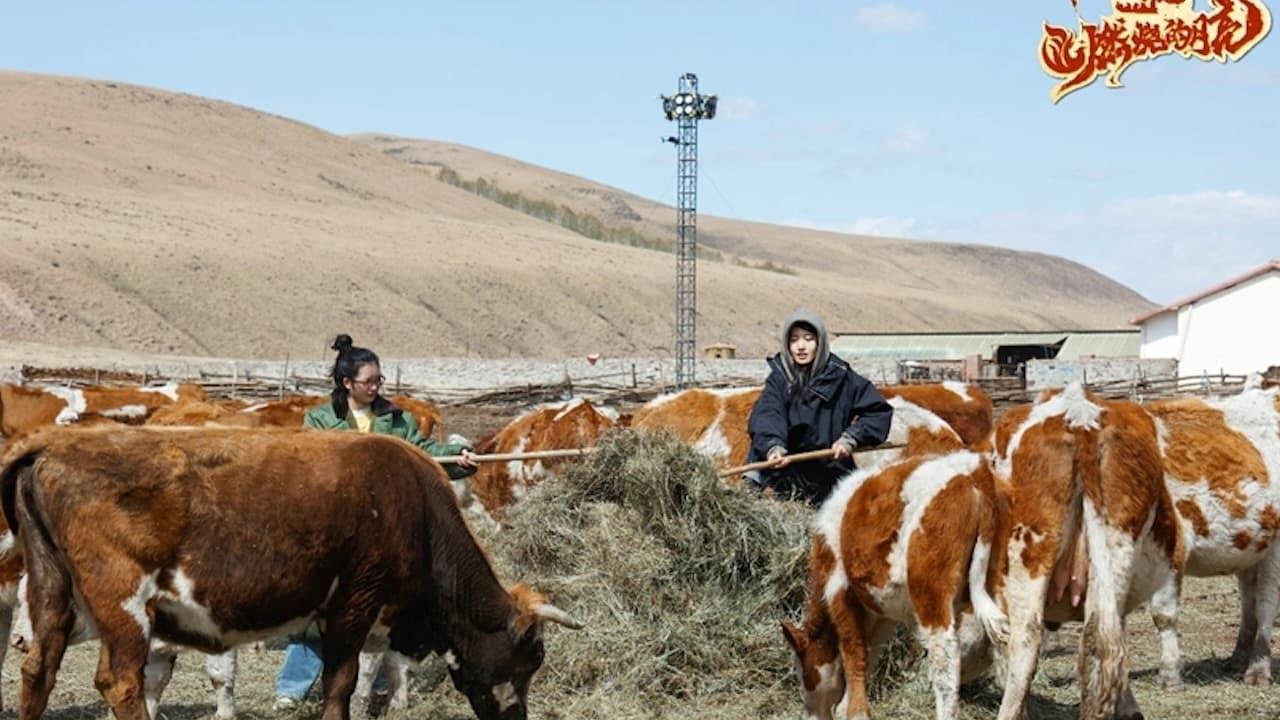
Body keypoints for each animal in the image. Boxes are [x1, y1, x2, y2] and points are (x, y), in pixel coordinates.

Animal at [0, 422, 581, 717]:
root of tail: (52, 444)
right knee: (121, 683)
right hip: (123, 605)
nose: (517, 719)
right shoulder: (354, 604)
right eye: (530, 659)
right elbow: (341, 686)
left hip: (51, 589)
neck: (415, 506)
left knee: (37, 672)